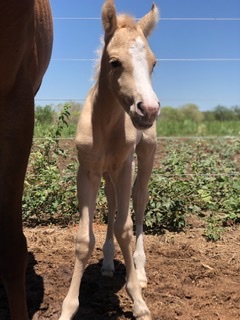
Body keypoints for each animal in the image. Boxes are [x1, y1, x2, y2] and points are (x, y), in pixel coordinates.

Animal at [59, 0, 159, 320]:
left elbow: (124, 229)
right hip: (108, 173)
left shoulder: (125, 166)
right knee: (114, 202)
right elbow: (84, 239)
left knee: (139, 202)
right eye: (114, 62)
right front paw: (68, 307)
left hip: (145, 155)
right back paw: (106, 264)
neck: (105, 124)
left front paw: (138, 301)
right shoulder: (88, 171)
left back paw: (140, 270)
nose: (148, 110)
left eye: (153, 63)